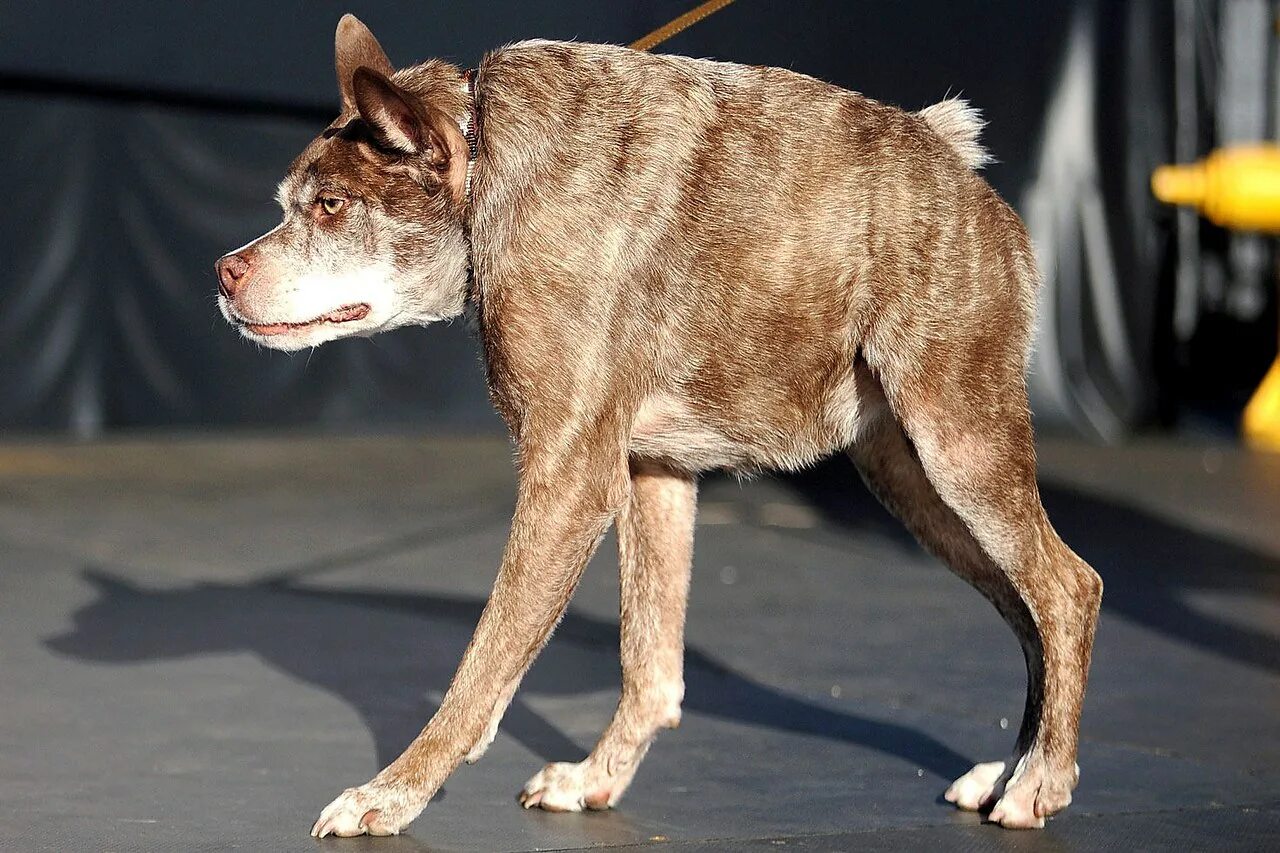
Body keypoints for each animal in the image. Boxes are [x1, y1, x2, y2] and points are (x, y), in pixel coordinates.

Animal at [215, 14, 1105, 835]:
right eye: (287, 207)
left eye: (331, 207)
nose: (223, 271)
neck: (486, 161)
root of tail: (959, 167)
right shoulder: (652, 472)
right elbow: (650, 667)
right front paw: (595, 777)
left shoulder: (569, 478)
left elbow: (481, 668)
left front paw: (394, 792)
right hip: (913, 483)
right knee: (1031, 609)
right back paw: (1013, 767)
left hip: (960, 447)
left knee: (1068, 590)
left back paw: (1040, 781)